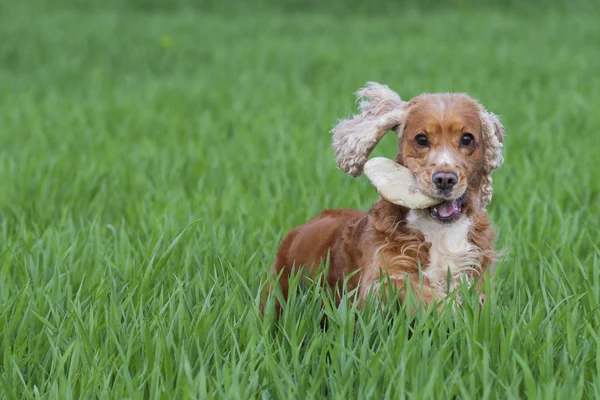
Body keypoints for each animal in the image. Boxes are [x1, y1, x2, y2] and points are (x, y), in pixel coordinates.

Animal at [262, 80, 502, 312]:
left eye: (467, 139)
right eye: (422, 139)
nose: (445, 179)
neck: (440, 230)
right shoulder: (380, 279)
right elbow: (425, 297)